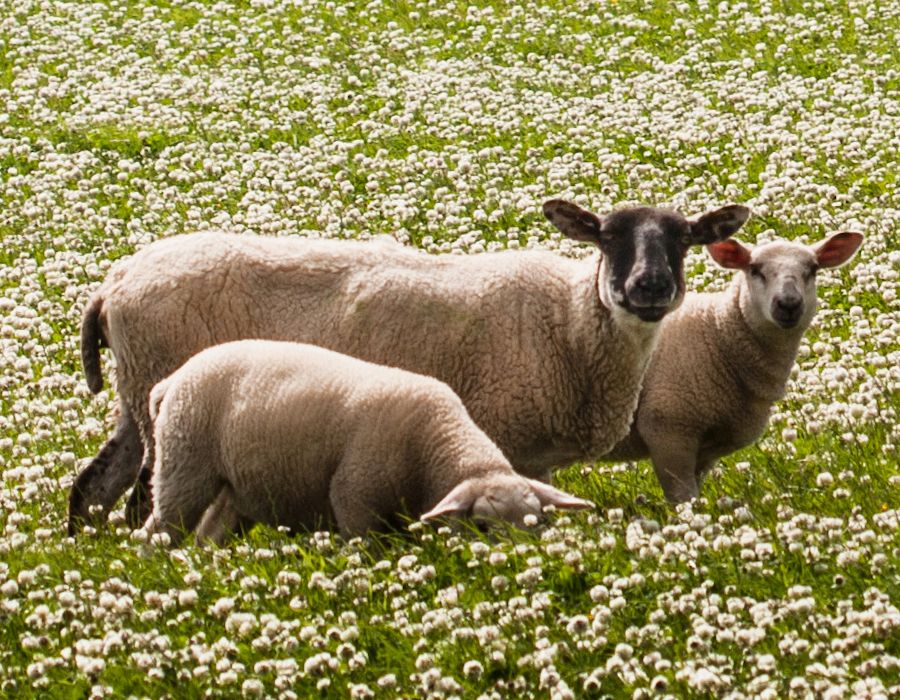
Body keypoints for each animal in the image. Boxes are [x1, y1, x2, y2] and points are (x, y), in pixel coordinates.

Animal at [142, 339, 593, 545]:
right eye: (482, 525)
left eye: (538, 523)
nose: (518, 562)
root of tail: (172, 380)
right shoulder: (354, 499)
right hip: (184, 466)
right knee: (158, 530)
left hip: (237, 490)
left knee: (209, 536)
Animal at [606, 230, 864, 502]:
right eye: (755, 269)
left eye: (813, 269)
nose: (788, 304)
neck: (715, 330)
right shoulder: (668, 429)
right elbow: (684, 498)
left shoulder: (704, 450)